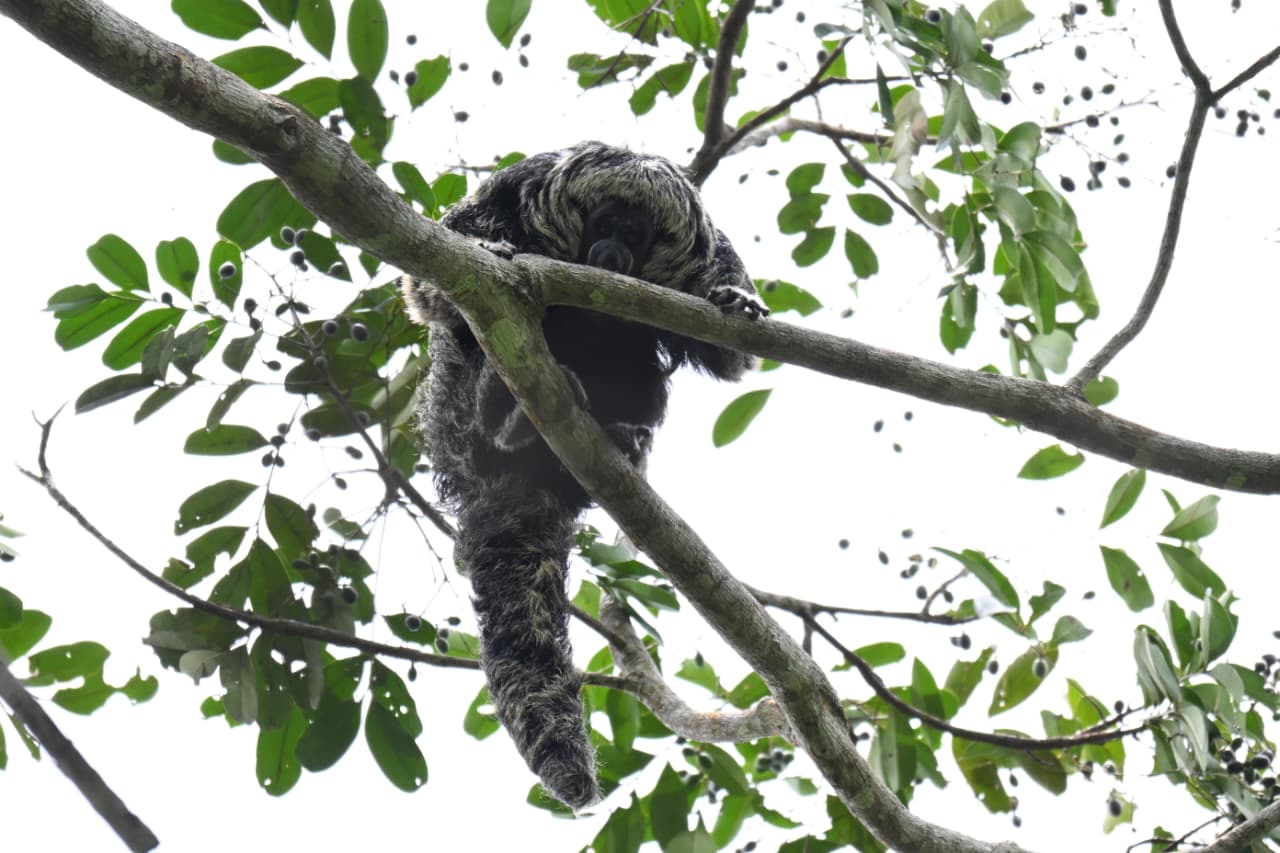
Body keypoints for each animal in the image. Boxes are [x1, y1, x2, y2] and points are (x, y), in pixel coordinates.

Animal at [401, 141, 766, 808]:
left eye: (637, 235)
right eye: (605, 223)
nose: (613, 252)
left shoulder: (705, 256)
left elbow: (727, 352)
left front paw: (734, 302)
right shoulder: (507, 194)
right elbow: (430, 285)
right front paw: (491, 252)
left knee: (636, 364)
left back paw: (617, 436)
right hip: (456, 428)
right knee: (482, 345)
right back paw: (507, 417)